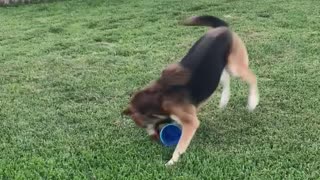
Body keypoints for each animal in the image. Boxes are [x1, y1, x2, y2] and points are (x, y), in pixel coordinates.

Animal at [123, 15, 260, 166]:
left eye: (143, 125)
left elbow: (180, 145)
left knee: (252, 78)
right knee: (226, 80)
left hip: (235, 67)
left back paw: (253, 102)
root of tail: (222, 28)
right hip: (217, 71)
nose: (154, 140)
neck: (158, 97)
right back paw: (224, 101)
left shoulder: (190, 122)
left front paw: (171, 162)